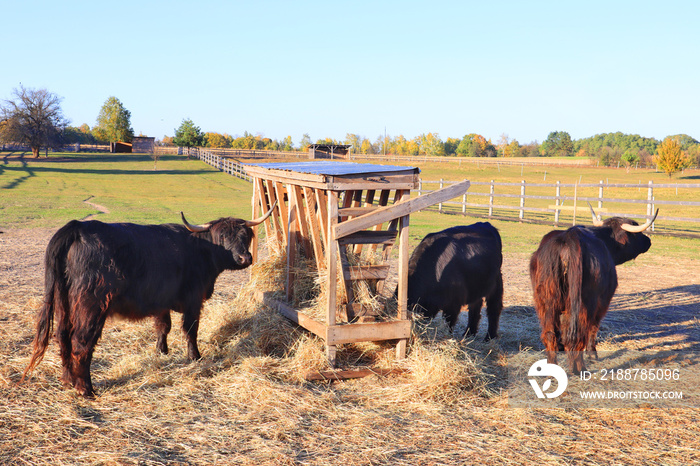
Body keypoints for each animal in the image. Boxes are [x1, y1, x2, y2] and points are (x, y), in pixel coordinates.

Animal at [22, 204, 274, 396]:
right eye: (222, 237)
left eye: (245, 236)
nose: (244, 258)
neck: (199, 250)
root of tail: (78, 227)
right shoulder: (194, 299)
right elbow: (190, 329)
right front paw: (195, 357)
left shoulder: (161, 300)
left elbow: (163, 326)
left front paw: (161, 351)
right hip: (90, 304)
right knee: (81, 342)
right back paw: (86, 389)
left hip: (63, 301)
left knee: (62, 336)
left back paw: (67, 380)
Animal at [532, 206, 656, 374]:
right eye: (636, 233)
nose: (648, 241)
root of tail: (569, 239)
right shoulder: (602, 302)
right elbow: (593, 328)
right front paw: (592, 354)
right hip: (586, 303)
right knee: (579, 333)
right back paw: (579, 368)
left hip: (546, 301)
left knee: (550, 333)